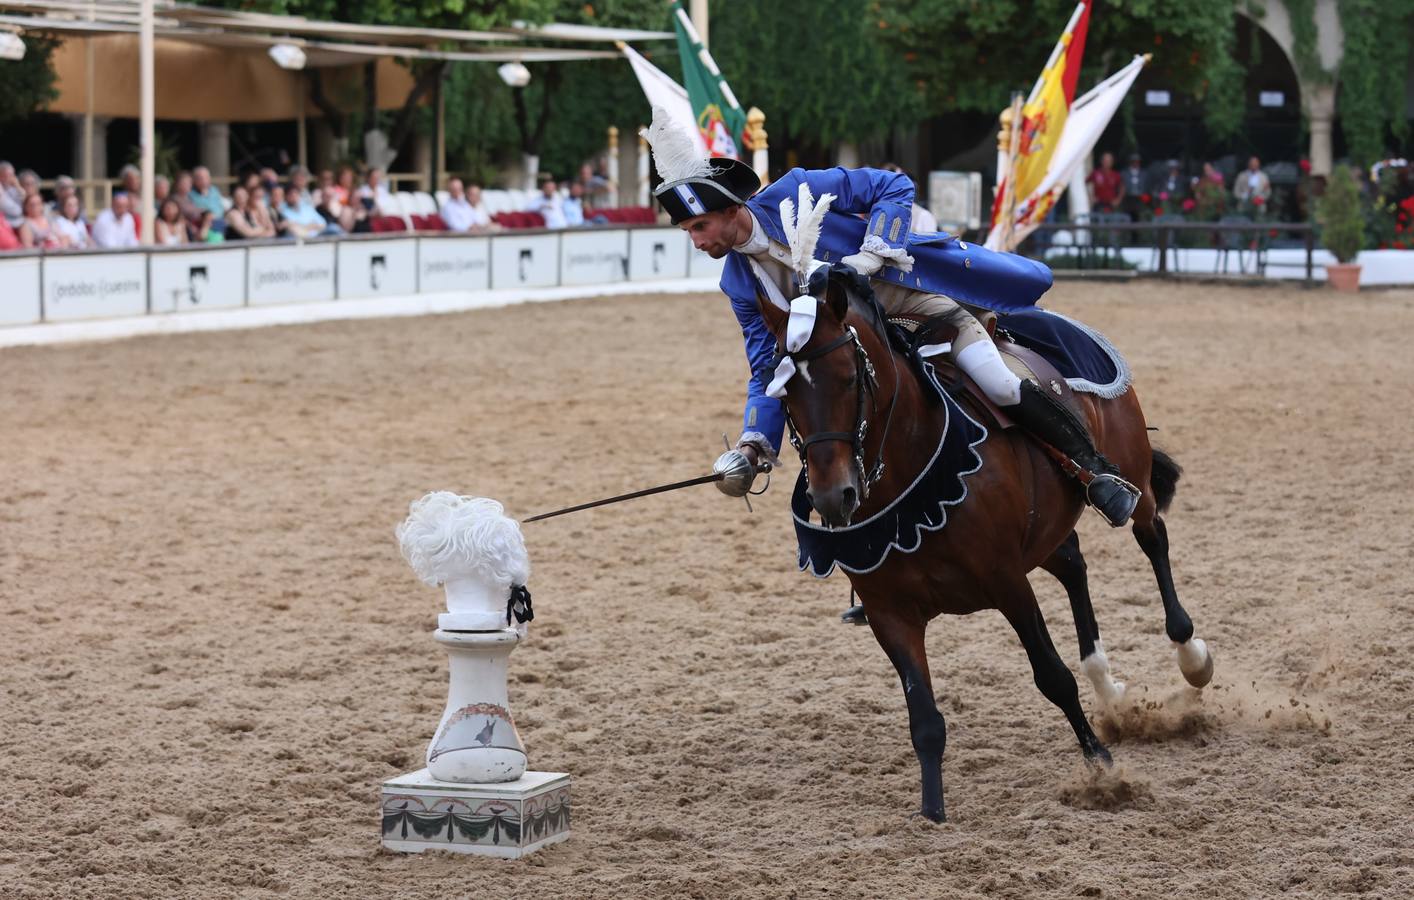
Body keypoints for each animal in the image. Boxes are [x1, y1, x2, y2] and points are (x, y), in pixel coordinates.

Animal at [763, 261, 1216, 820]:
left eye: (850, 378)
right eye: (784, 395)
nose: (833, 496)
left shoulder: (1007, 582)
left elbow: (1052, 676)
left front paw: (1102, 769)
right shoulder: (890, 613)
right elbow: (924, 718)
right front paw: (932, 812)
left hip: (1133, 478)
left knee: (1152, 538)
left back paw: (1190, 654)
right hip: (1045, 534)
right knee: (1074, 567)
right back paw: (1107, 685)